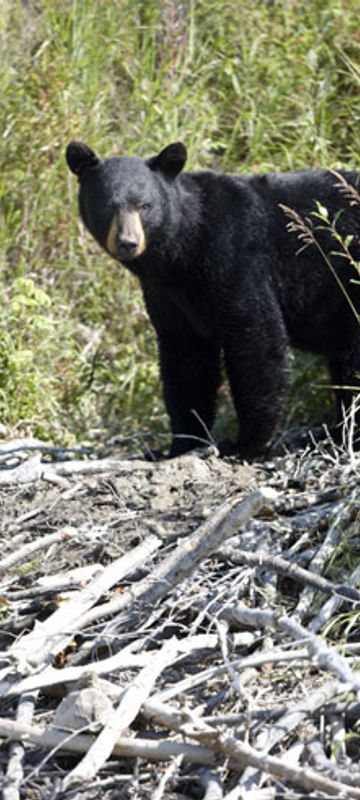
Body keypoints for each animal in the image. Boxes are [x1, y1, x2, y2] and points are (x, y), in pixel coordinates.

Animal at [65, 141, 360, 460]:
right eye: (108, 205)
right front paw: (180, 444)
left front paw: (247, 443)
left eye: (145, 205)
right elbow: (186, 363)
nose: (128, 243)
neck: (182, 250)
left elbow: (255, 336)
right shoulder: (169, 296)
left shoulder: (236, 256)